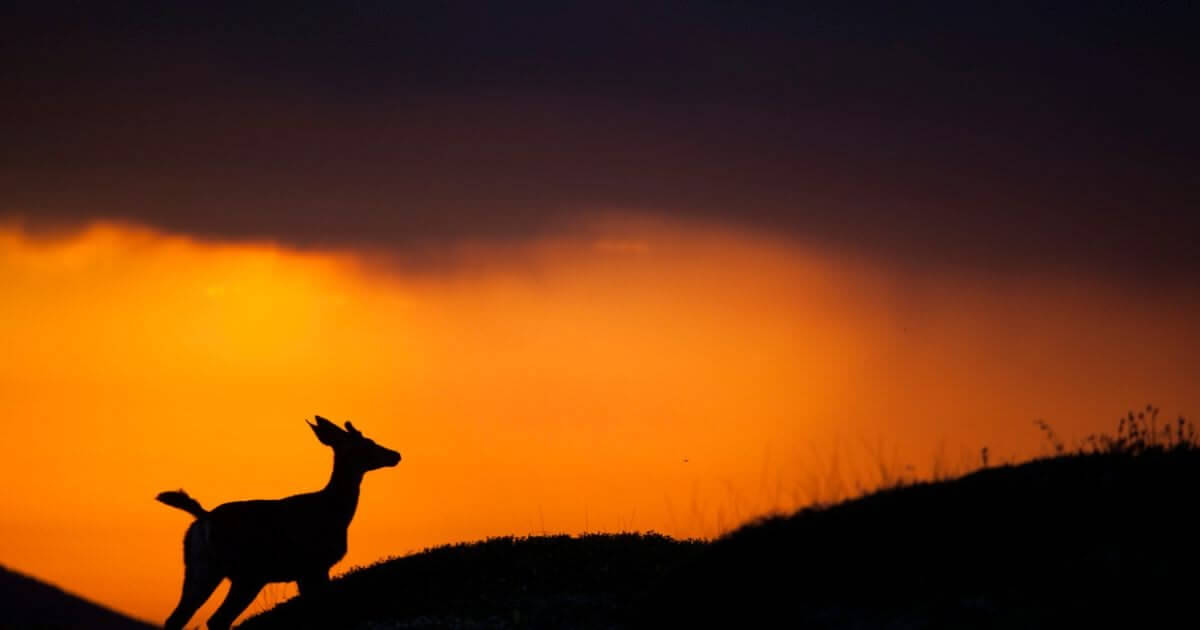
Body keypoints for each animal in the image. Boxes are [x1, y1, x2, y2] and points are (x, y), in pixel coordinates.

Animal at [156, 415, 401, 630]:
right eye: (367, 443)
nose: (395, 454)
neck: (333, 512)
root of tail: (204, 518)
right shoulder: (314, 565)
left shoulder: (306, 571)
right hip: (248, 573)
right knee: (216, 619)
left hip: (200, 568)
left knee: (179, 618)